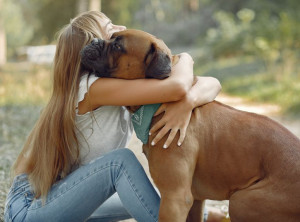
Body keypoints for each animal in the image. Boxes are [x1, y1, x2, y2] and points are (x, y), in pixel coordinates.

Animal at [81, 29, 300, 222]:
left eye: (117, 46)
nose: (93, 41)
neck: (159, 102)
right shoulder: (195, 199)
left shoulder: (174, 199)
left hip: (241, 201)